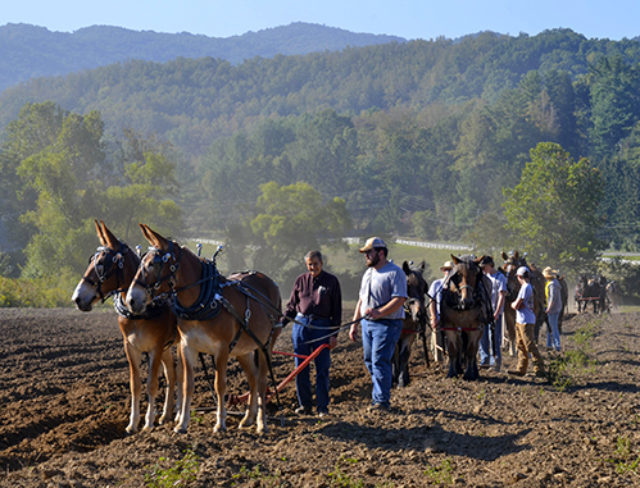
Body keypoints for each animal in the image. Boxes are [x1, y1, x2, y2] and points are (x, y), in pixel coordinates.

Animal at [70, 219, 180, 432]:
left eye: (101, 264)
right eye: (91, 261)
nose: (77, 298)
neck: (138, 313)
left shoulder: (155, 347)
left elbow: (151, 384)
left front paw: (148, 423)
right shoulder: (131, 347)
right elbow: (135, 384)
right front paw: (132, 423)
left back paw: (177, 414)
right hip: (167, 347)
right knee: (171, 374)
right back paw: (166, 415)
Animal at [126, 225, 282, 434]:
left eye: (152, 264)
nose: (131, 300)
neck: (203, 302)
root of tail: (269, 281)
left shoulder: (222, 349)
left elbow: (219, 385)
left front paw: (220, 423)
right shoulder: (187, 346)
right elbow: (187, 385)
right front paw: (182, 424)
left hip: (266, 344)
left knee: (263, 381)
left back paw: (261, 423)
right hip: (243, 349)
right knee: (253, 379)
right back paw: (248, 418)